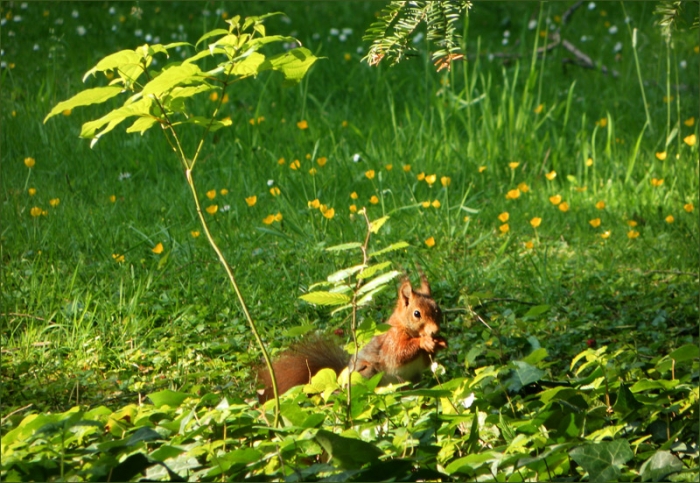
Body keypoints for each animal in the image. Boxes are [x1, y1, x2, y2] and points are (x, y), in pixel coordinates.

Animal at [258, 275, 447, 402]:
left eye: (438, 310)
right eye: (417, 314)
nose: (435, 331)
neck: (403, 326)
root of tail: (340, 384)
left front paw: (440, 343)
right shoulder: (391, 340)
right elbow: (399, 354)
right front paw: (424, 342)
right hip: (366, 373)